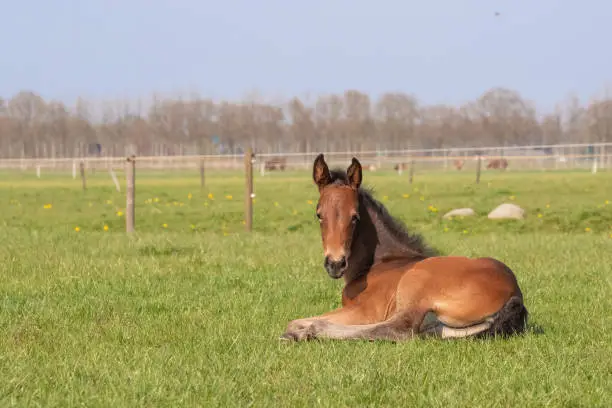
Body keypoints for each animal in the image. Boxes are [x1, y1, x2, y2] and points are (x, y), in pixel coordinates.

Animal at [280, 153, 528, 342]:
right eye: (319, 215)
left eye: (355, 217)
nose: (335, 264)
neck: (379, 263)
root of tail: (514, 293)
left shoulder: (364, 310)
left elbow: (294, 321)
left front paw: (302, 330)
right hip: (443, 326)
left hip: (415, 284)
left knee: (399, 329)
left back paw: (311, 332)